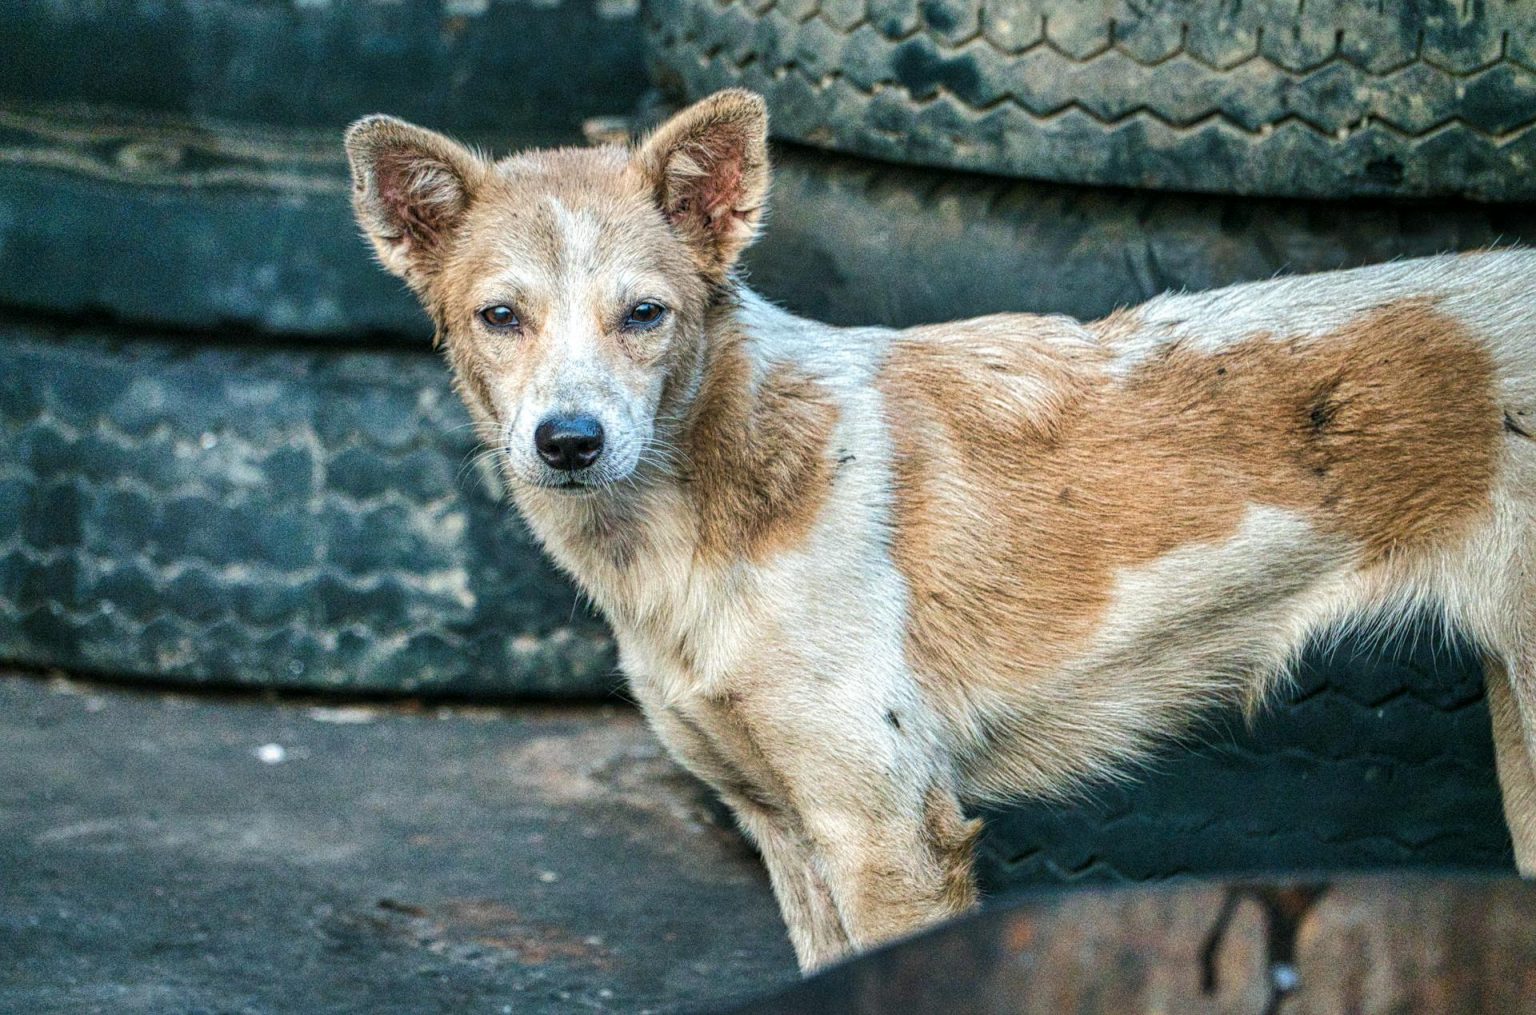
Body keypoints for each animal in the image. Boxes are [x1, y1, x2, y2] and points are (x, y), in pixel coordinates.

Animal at [345, 90, 1536, 970]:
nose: (569, 441)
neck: (706, 516)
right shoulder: (786, 830)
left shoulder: (889, 835)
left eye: (646, 316)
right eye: (502, 317)